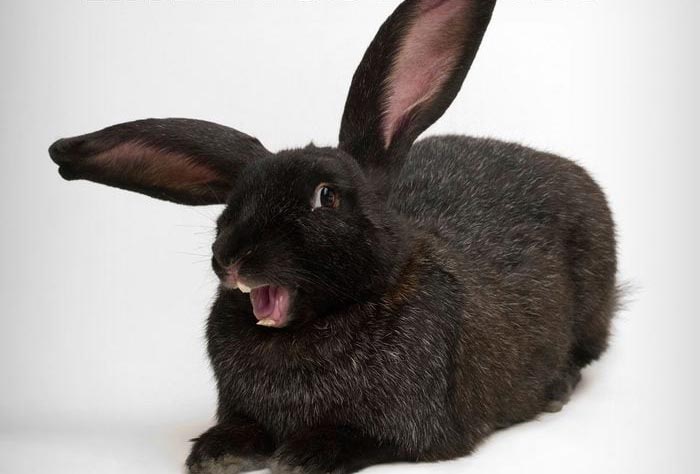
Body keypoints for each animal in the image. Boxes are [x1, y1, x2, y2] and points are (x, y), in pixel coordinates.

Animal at [48, 0, 618, 473]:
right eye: (230, 206)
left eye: (326, 196)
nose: (230, 257)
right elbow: (239, 426)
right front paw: (216, 452)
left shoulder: (415, 427)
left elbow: (363, 437)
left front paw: (303, 454)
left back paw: (556, 389)